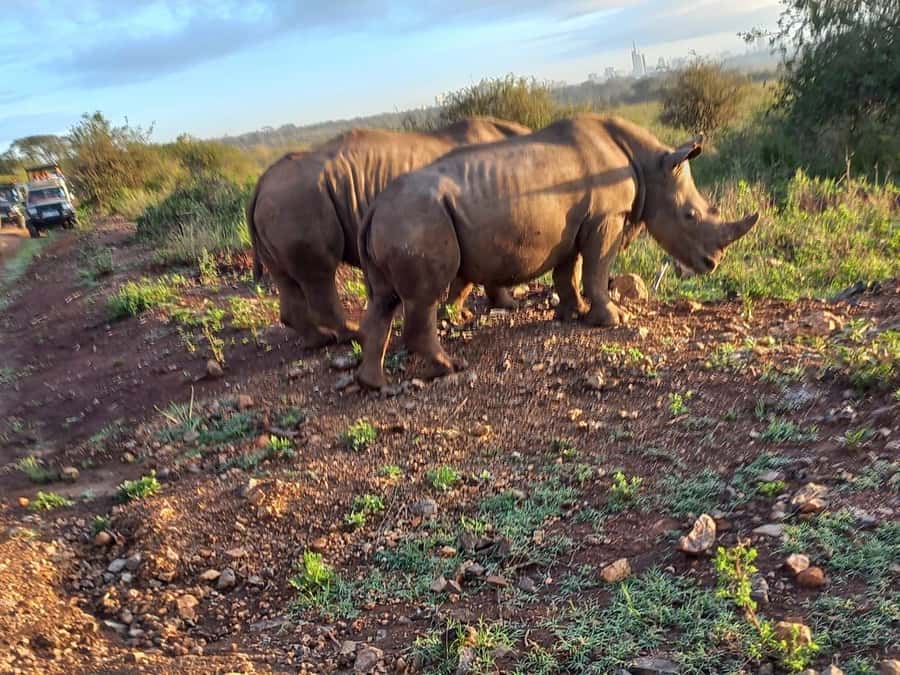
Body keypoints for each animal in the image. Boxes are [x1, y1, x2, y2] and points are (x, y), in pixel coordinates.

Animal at [247, 117, 530, 347]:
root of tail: (260, 183)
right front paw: (465, 312)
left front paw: (492, 307)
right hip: (297, 201)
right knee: (320, 273)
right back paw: (351, 335)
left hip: (281, 204)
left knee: (286, 277)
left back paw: (319, 341)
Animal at [357, 114, 759, 388]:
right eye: (690, 216)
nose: (712, 263)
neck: (650, 165)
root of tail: (374, 207)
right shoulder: (607, 217)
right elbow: (596, 268)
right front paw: (613, 320)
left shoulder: (576, 223)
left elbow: (569, 271)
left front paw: (573, 313)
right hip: (417, 218)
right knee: (422, 299)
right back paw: (449, 367)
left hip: (399, 219)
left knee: (382, 300)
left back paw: (377, 385)